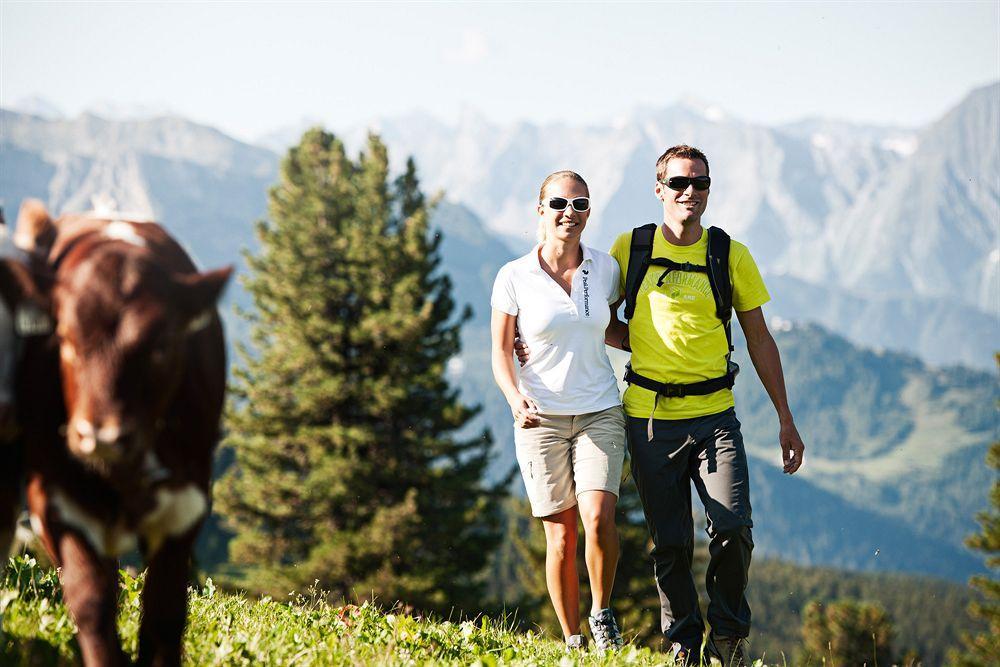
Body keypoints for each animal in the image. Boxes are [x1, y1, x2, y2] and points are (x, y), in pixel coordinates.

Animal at [16, 204, 232, 667]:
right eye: (65, 338)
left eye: (162, 345)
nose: (101, 436)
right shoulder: (55, 502)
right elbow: (91, 602)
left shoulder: (187, 505)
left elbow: (165, 614)